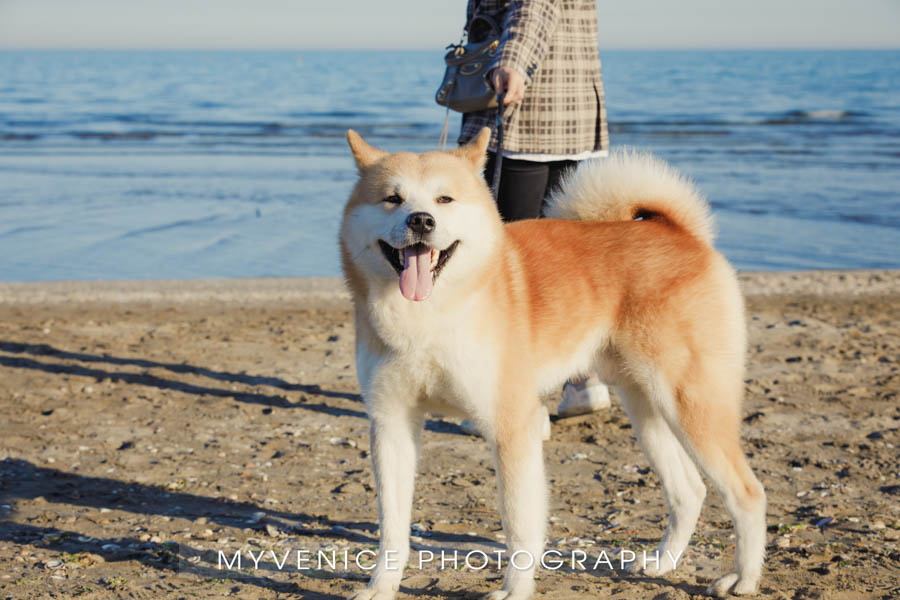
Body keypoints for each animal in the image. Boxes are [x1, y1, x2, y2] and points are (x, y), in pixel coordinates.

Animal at [342, 129, 764, 596]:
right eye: (392, 198)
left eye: (444, 199)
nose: (421, 220)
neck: (429, 318)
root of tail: (677, 232)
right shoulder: (391, 424)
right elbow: (392, 525)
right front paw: (382, 586)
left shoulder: (511, 427)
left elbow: (518, 521)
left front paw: (515, 589)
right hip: (646, 406)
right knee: (689, 491)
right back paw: (661, 563)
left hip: (690, 405)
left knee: (747, 493)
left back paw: (744, 579)